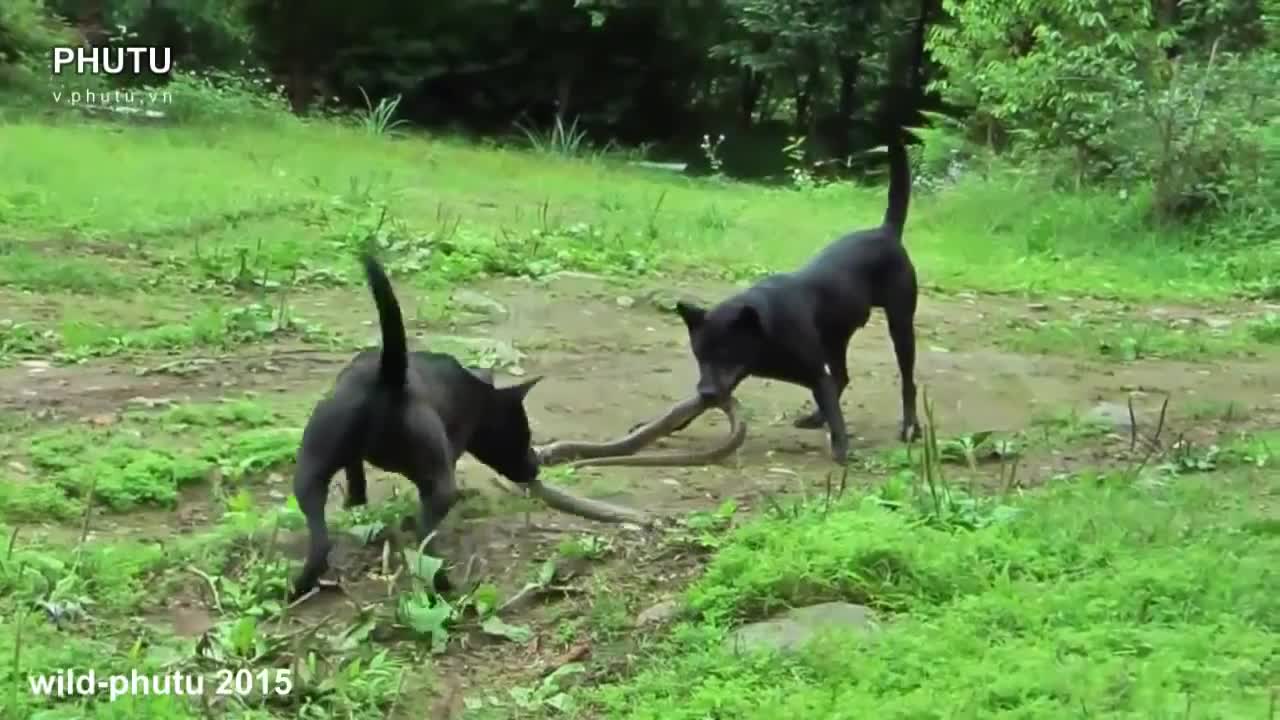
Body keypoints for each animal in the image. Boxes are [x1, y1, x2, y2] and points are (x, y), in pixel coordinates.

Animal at [290, 254, 540, 597]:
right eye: (524, 436)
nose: (538, 466)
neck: (478, 392)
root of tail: (390, 376)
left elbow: (355, 473)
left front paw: (355, 502)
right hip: (437, 480)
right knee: (424, 538)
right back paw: (443, 583)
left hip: (310, 465)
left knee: (320, 541)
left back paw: (298, 586)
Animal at [675, 134, 916, 458]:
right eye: (699, 355)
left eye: (727, 353)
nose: (706, 392)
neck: (764, 331)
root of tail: (886, 231)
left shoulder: (814, 372)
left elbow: (833, 405)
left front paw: (842, 449)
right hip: (835, 338)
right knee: (841, 377)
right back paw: (816, 418)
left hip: (900, 325)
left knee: (907, 383)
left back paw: (910, 427)